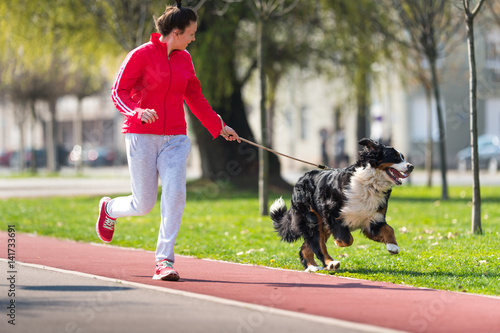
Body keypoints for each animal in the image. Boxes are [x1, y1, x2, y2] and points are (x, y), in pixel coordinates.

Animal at [270, 136, 414, 272]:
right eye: (395, 156)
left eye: (403, 157)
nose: (411, 166)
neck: (369, 183)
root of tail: (300, 179)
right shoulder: (332, 213)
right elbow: (347, 239)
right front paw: (338, 242)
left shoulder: (373, 218)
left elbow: (388, 229)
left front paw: (393, 246)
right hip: (312, 219)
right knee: (318, 245)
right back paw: (330, 263)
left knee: (307, 247)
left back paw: (313, 267)